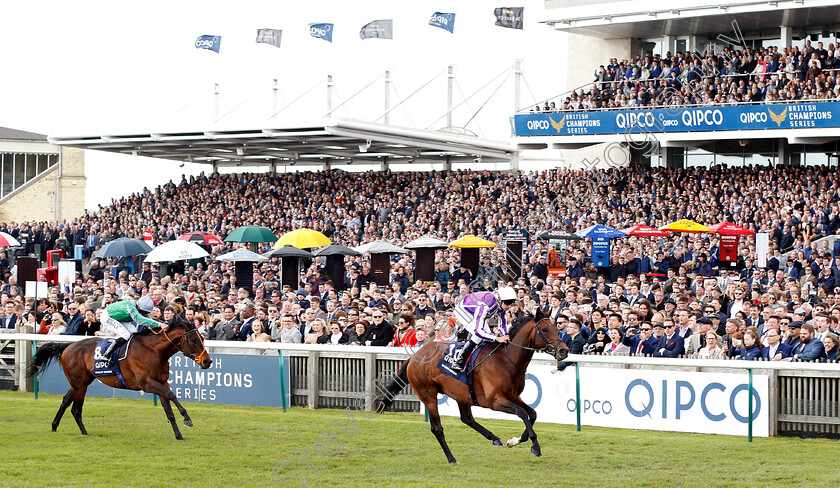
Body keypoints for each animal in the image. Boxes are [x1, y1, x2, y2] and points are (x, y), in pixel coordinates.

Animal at [26, 316, 213, 442]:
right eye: (194, 340)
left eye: (203, 338)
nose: (207, 361)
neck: (154, 351)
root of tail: (68, 345)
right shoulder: (147, 383)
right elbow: (172, 395)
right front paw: (187, 419)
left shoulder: (161, 382)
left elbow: (169, 409)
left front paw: (179, 434)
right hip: (80, 384)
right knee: (76, 409)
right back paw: (85, 433)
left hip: (81, 382)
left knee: (66, 400)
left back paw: (54, 426)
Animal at [376, 306, 568, 464]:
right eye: (545, 329)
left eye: (557, 328)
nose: (564, 350)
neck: (507, 360)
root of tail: (415, 356)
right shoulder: (495, 401)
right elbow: (522, 414)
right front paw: (535, 447)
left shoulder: (513, 396)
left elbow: (532, 414)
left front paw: (515, 440)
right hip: (427, 394)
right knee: (437, 428)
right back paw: (452, 458)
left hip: (461, 393)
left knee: (467, 418)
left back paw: (494, 438)